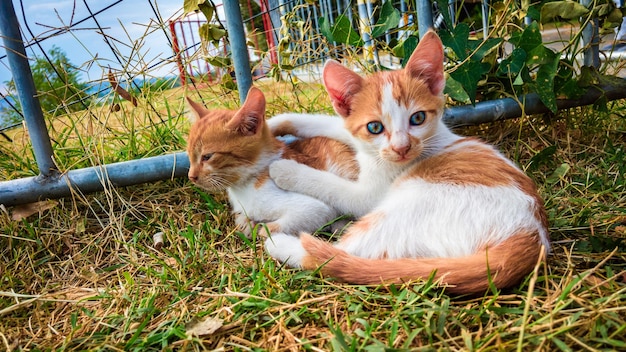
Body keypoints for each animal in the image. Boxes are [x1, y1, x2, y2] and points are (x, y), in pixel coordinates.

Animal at [266, 31, 548, 294]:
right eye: (375, 127)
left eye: (418, 118)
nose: (402, 148)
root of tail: (531, 237)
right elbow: (330, 123)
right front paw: (275, 123)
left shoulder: (367, 196)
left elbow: (331, 186)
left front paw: (286, 170)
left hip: (409, 207)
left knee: (338, 256)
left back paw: (281, 242)